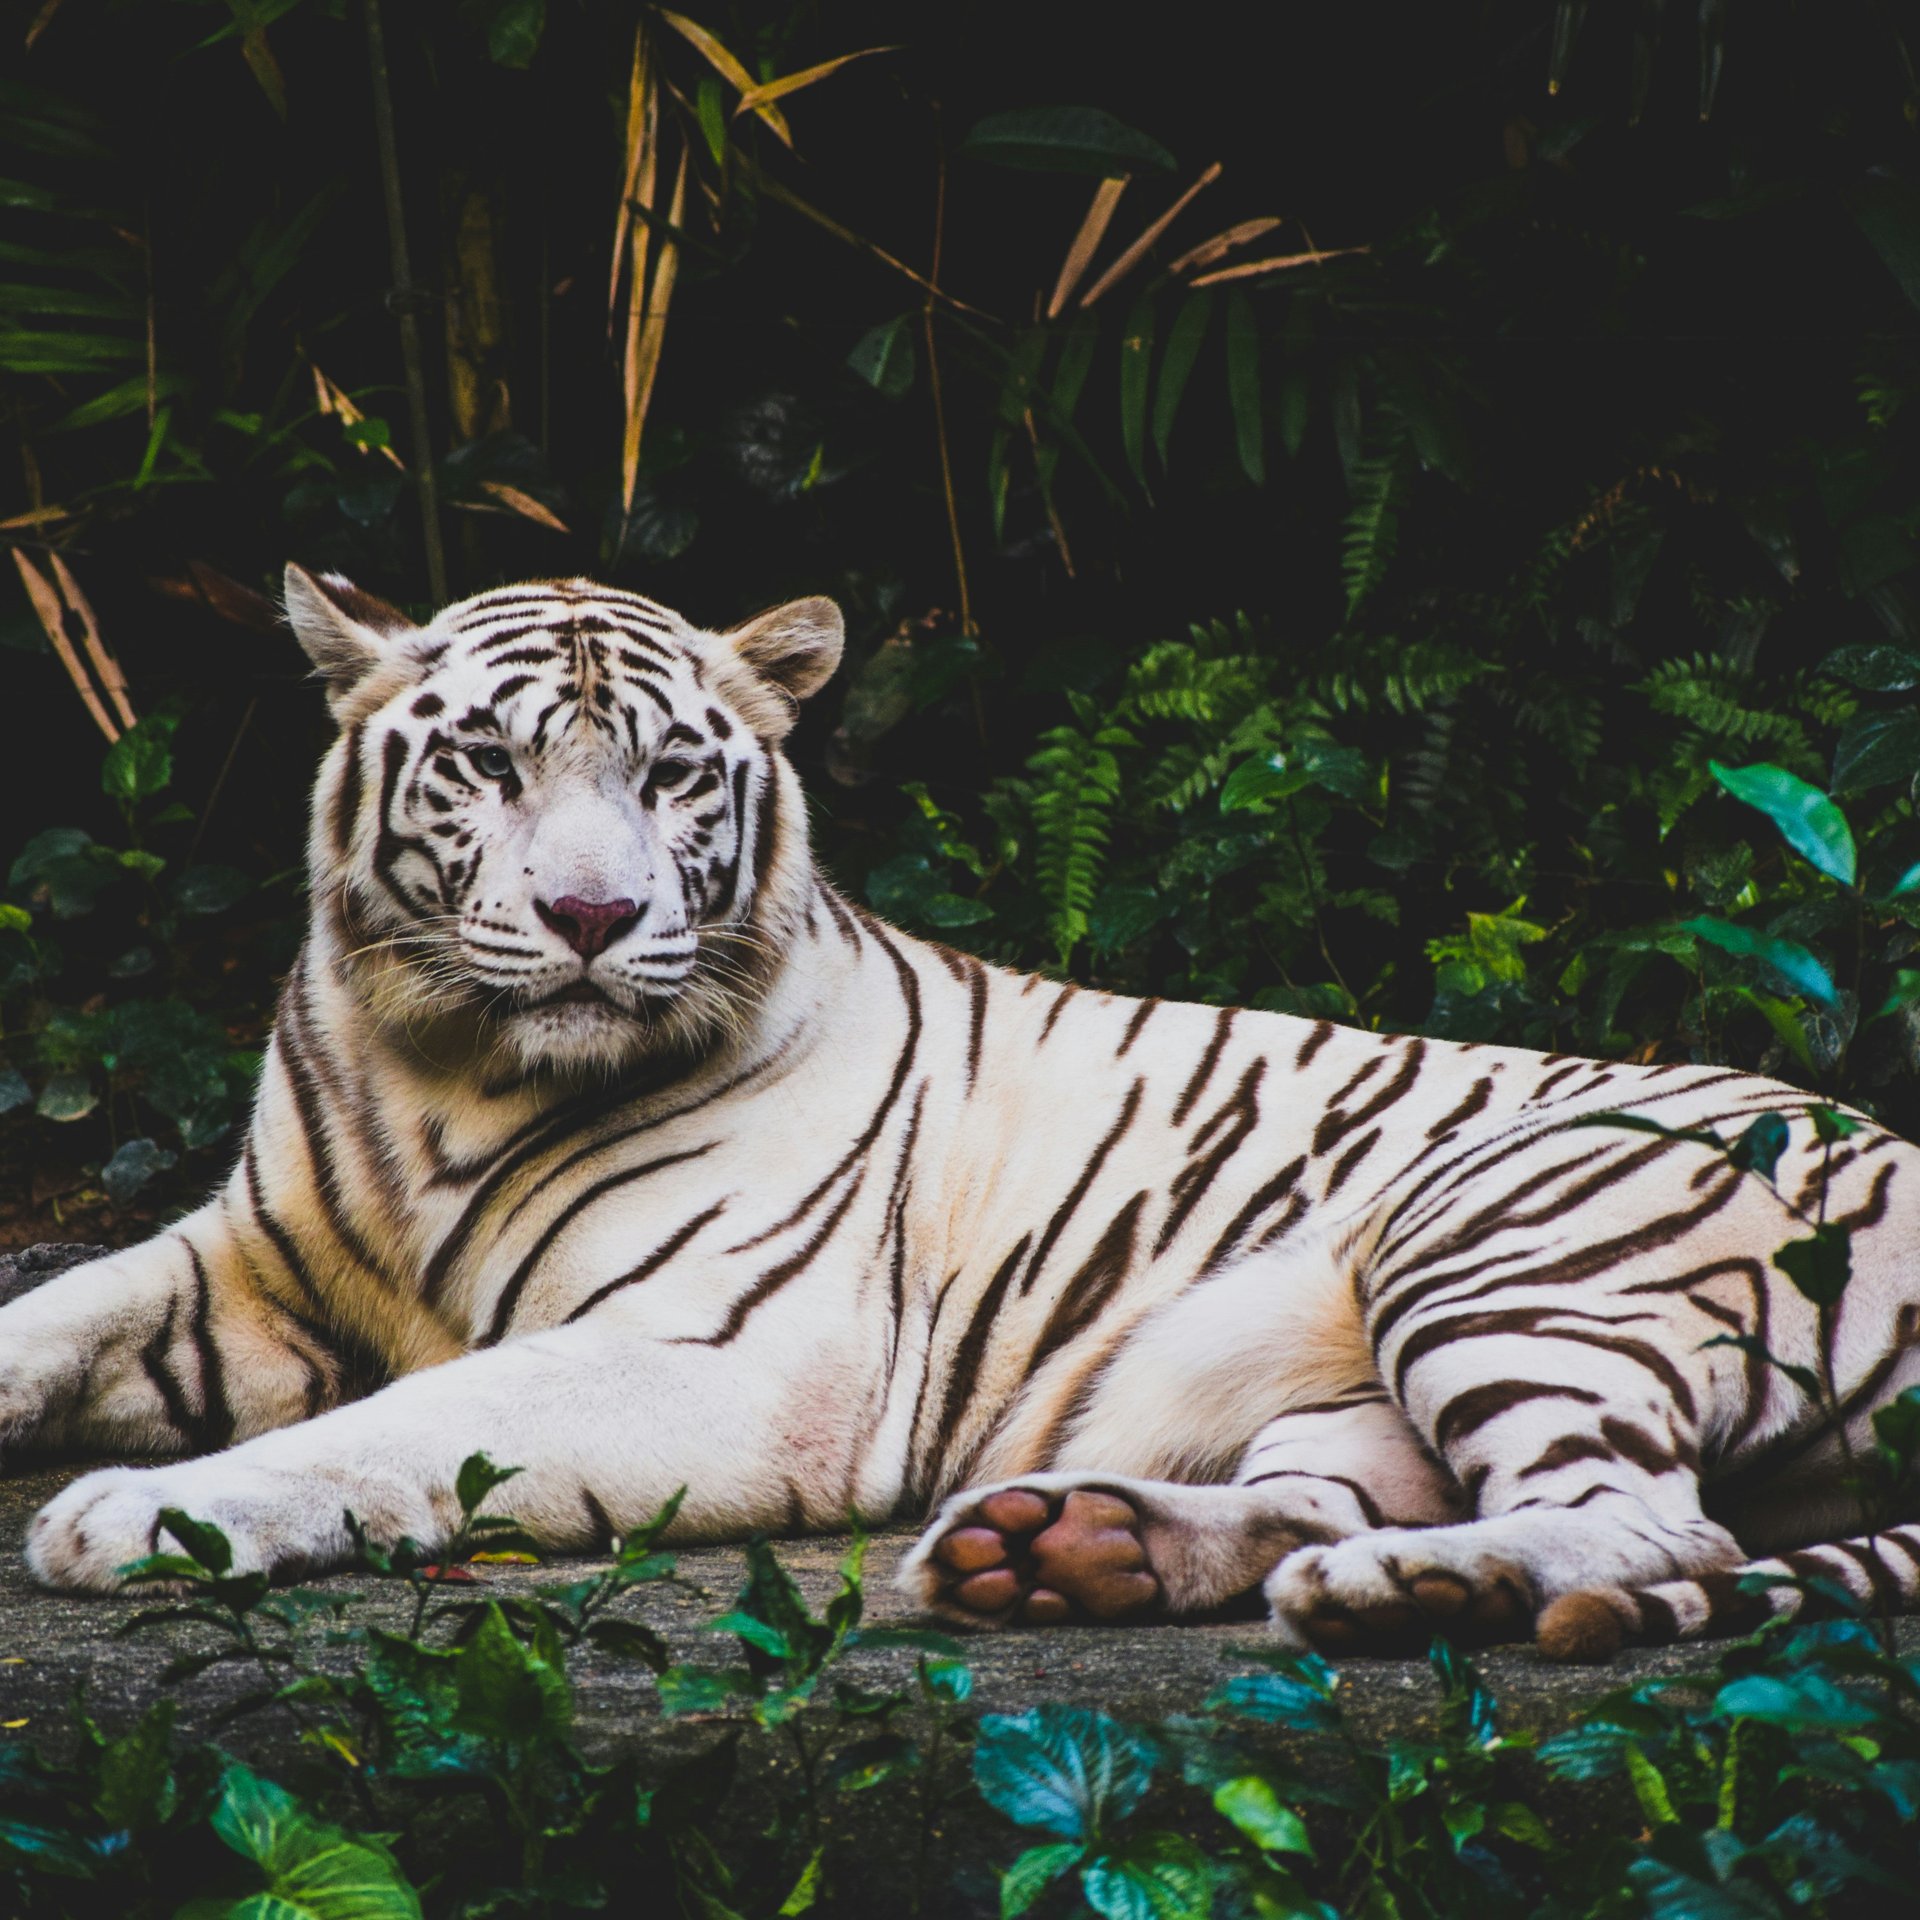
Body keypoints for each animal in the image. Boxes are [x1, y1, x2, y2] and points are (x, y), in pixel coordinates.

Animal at [5, 563, 1920, 1664]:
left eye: (673, 775)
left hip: (1500, 1236)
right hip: (1349, 1381)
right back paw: (1078, 1554)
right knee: (1336, 1501)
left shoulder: (724, 1356)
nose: (593, 917)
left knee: (1656, 1522)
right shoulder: (243, 1268)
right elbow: (50, 1314)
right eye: (487, 765)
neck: (446, 1071)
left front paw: (134, 1517)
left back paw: (1417, 1594)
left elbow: (402, 1425)